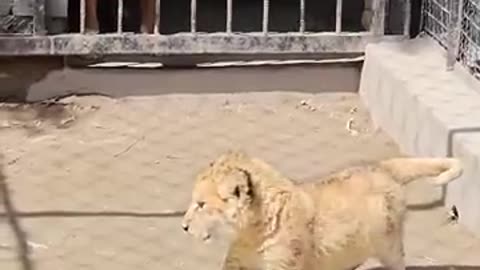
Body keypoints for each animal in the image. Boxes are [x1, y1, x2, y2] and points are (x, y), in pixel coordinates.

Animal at [182, 151, 464, 270]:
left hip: (389, 244)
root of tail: (381, 167)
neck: (250, 235)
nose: (183, 226)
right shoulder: (236, 264)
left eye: (201, 205)